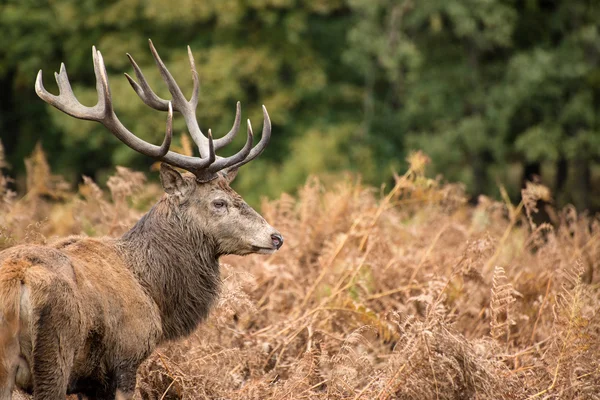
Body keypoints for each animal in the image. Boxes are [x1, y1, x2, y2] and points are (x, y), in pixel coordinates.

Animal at [0, 38, 284, 400]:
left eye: (238, 195)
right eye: (219, 203)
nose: (276, 236)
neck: (154, 293)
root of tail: (17, 280)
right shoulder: (126, 359)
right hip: (54, 353)